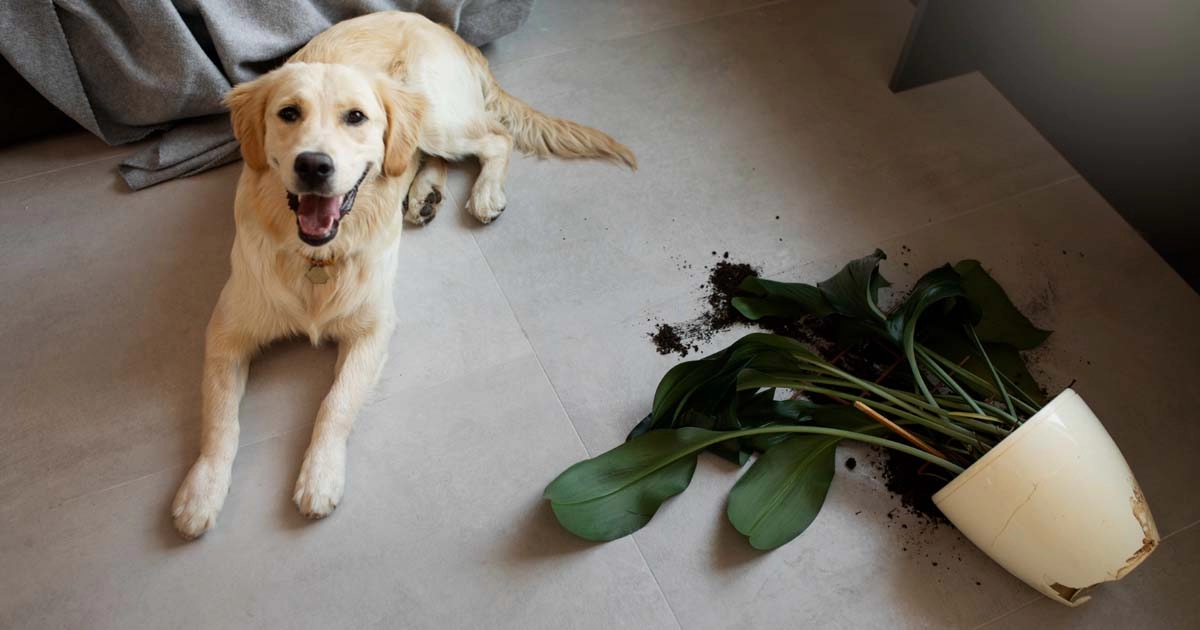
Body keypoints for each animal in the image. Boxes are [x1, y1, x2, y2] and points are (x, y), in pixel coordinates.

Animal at [174, 12, 638, 537]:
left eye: (355, 117)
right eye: (288, 113)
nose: (313, 165)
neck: (317, 258)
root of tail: (439, 26)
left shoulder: (372, 329)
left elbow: (334, 404)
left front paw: (320, 476)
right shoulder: (226, 334)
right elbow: (219, 419)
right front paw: (201, 492)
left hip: (438, 118)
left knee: (493, 139)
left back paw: (483, 194)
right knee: (422, 156)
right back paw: (424, 194)